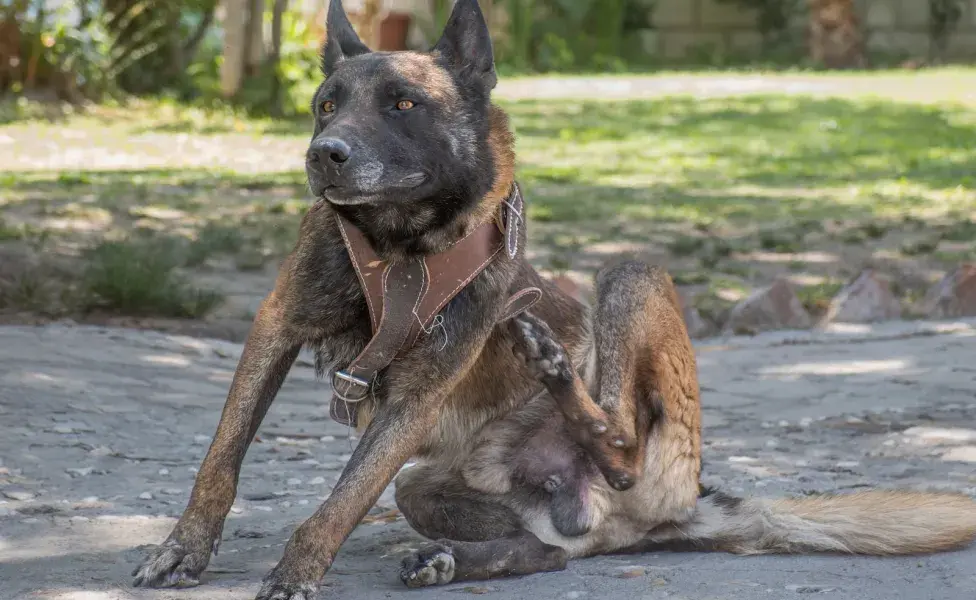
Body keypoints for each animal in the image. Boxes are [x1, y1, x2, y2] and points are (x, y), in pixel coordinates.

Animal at [132, 2, 976, 596]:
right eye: (325, 105)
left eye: (403, 104)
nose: (322, 155)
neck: (401, 250)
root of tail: (672, 508)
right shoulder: (275, 330)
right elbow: (222, 459)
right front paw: (184, 548)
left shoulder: (418, 393)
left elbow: (341, 498)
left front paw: (298, 569)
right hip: (424, 486)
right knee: (548, 554)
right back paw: (454, 558)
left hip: (632, 281)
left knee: (624, 443)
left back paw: (564, 383)